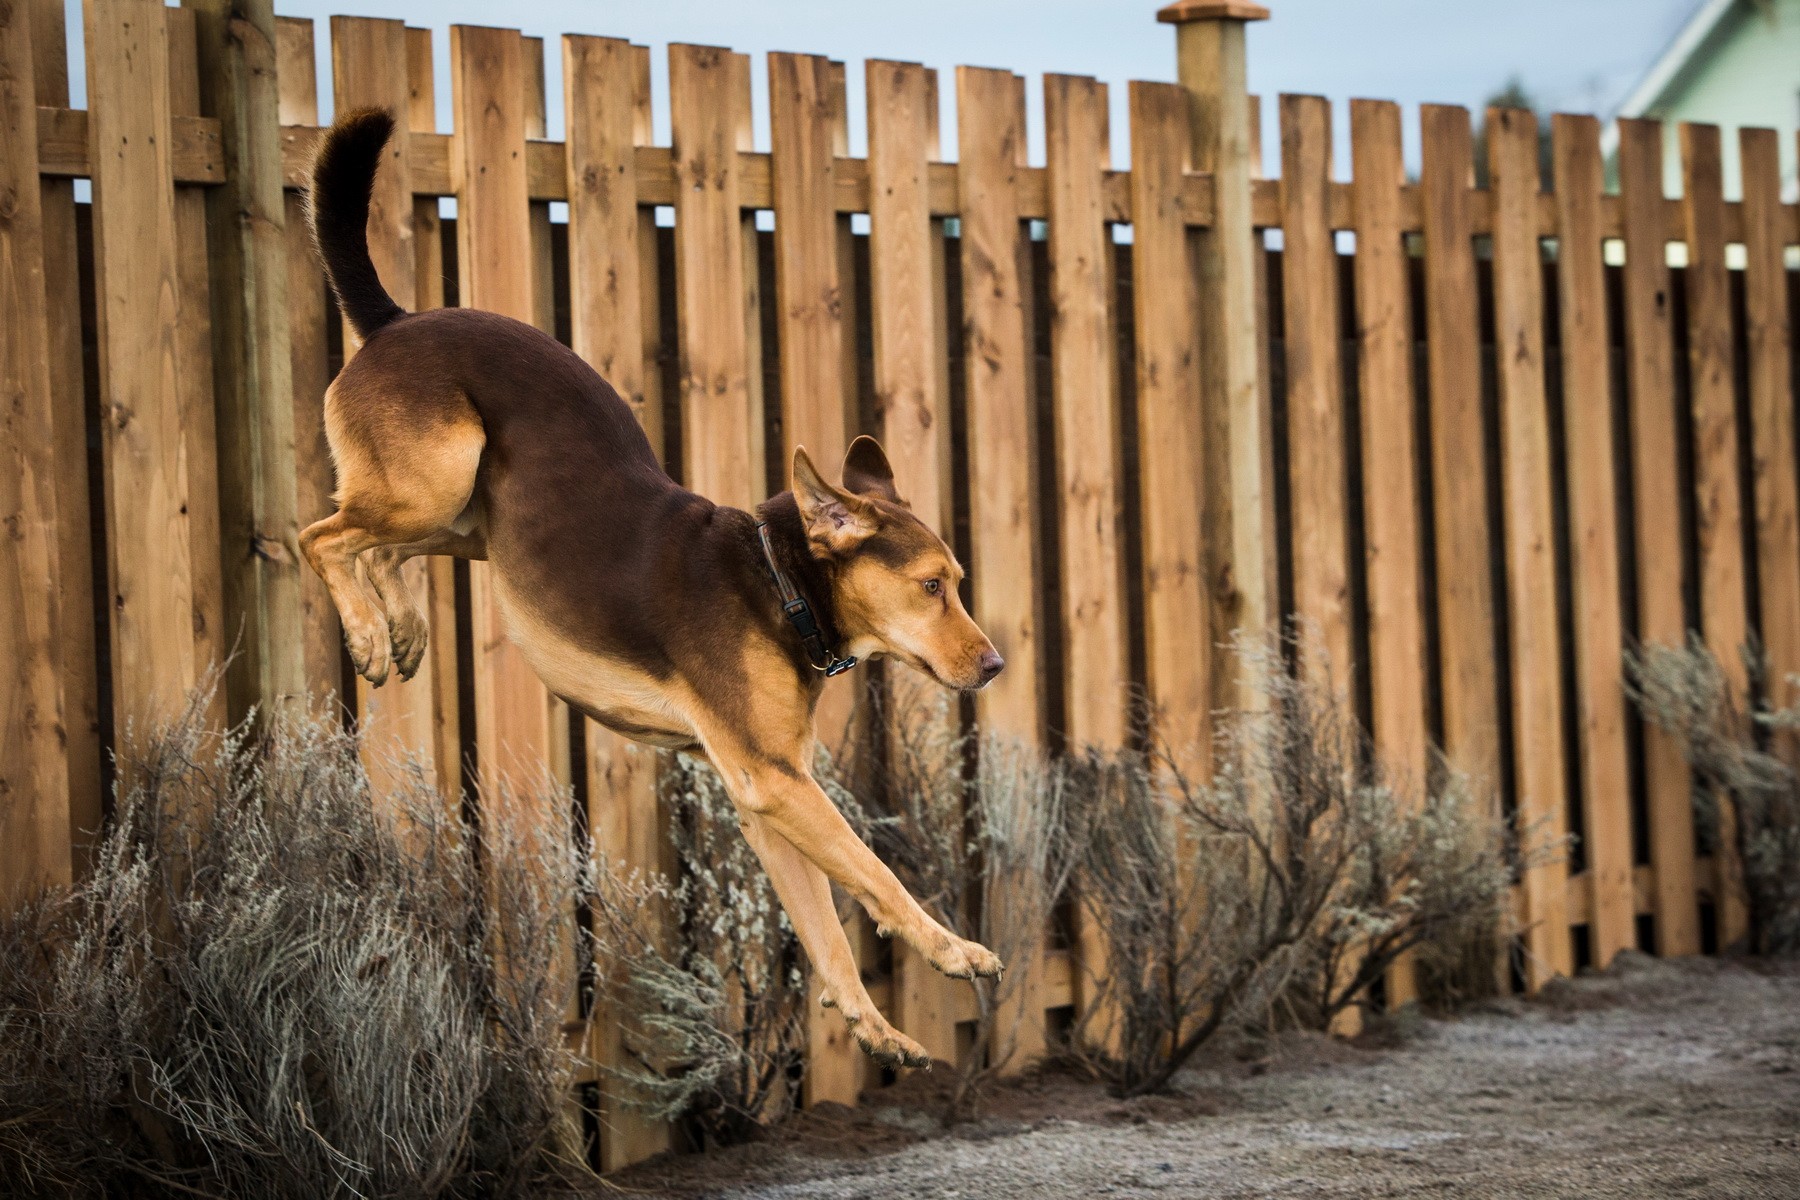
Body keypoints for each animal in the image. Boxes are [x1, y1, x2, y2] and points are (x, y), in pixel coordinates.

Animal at [302, 115, 1008, 1072]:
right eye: (933, 587)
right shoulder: (776, 783)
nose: (996, 665)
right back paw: (371, 634)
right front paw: (954, 951)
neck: (778, 582)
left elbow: (825, 926)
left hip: (465, 518)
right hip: (436, 478)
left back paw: (400, 625)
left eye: (958, 584)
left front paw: (873, 1026)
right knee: (321, 534)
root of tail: (395, 320)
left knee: (377, 547)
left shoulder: (764, 796)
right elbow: (878, 874)